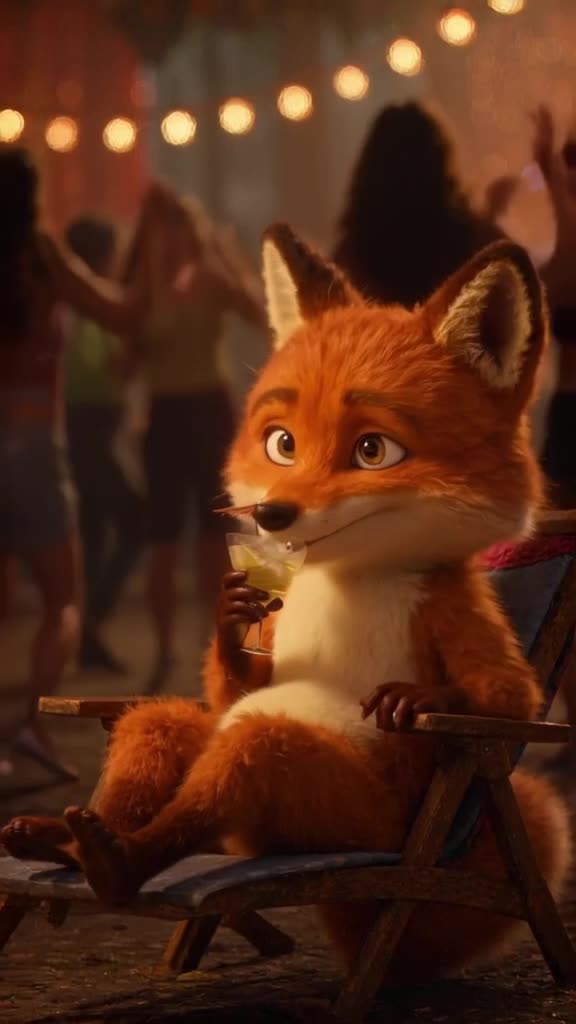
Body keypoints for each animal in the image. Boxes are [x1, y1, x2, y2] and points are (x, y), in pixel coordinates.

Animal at [1, 224, 571, 986]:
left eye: (373, 450)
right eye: (282, 443)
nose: (272, 514)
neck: (340, 578)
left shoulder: (453, 603)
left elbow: (506, 699)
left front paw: (418, 697)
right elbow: (240, 672)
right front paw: (231, 613)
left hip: (342, 810)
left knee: (253, 746)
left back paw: (114, 862)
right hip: (191, 745)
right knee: (160, 722)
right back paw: (60, 840)